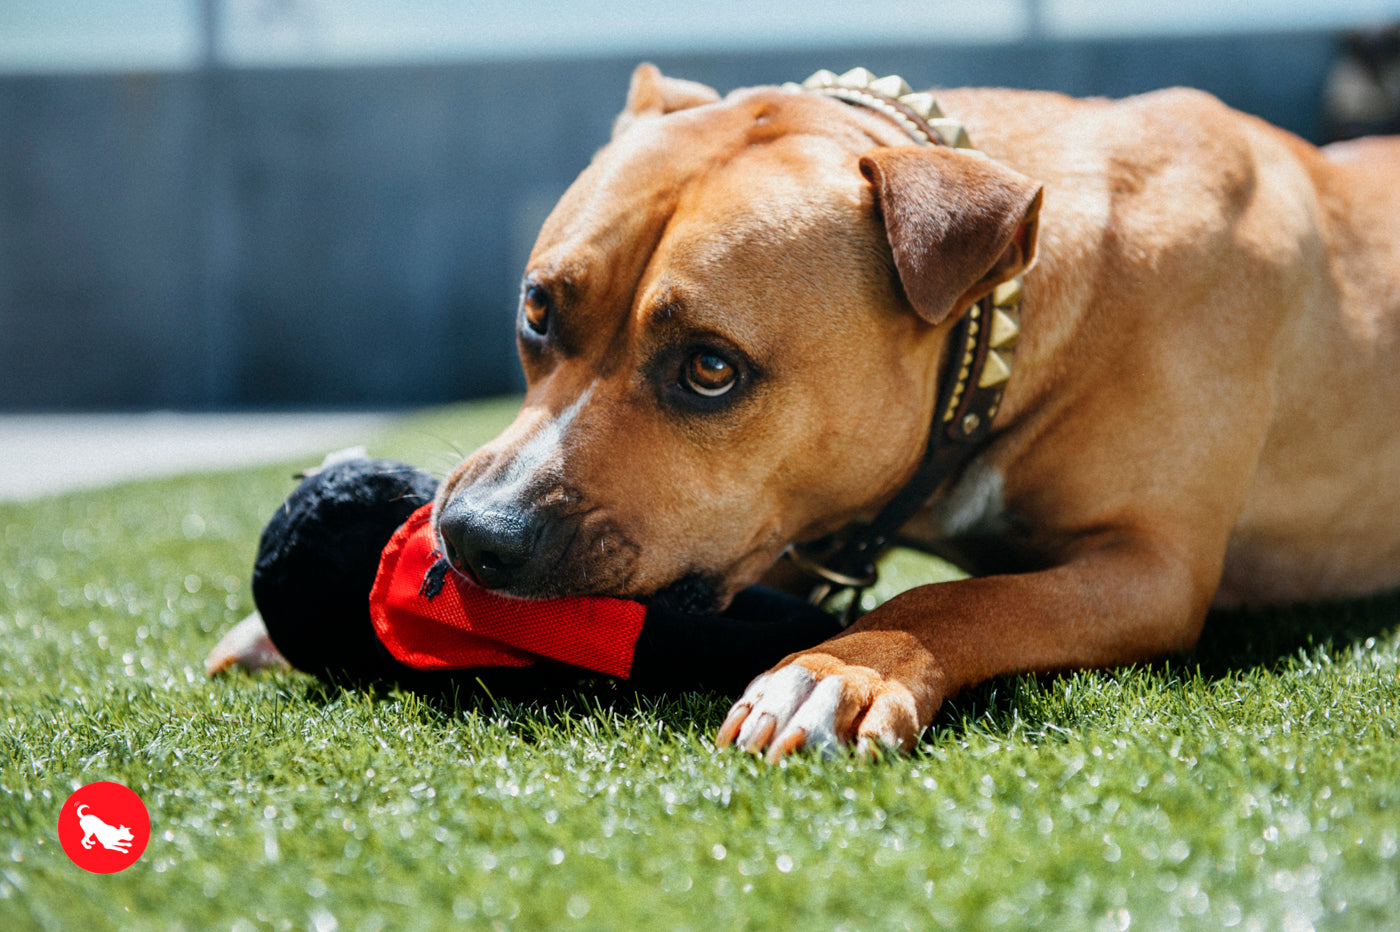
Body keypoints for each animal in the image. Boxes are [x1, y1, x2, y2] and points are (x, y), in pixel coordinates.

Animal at [434, 61, 1400, 761]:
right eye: (537, 310)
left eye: (710, 368)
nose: (477, 532)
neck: (1004, 323)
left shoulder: (1151, 567)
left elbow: (958, 598)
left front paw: (836, 671)